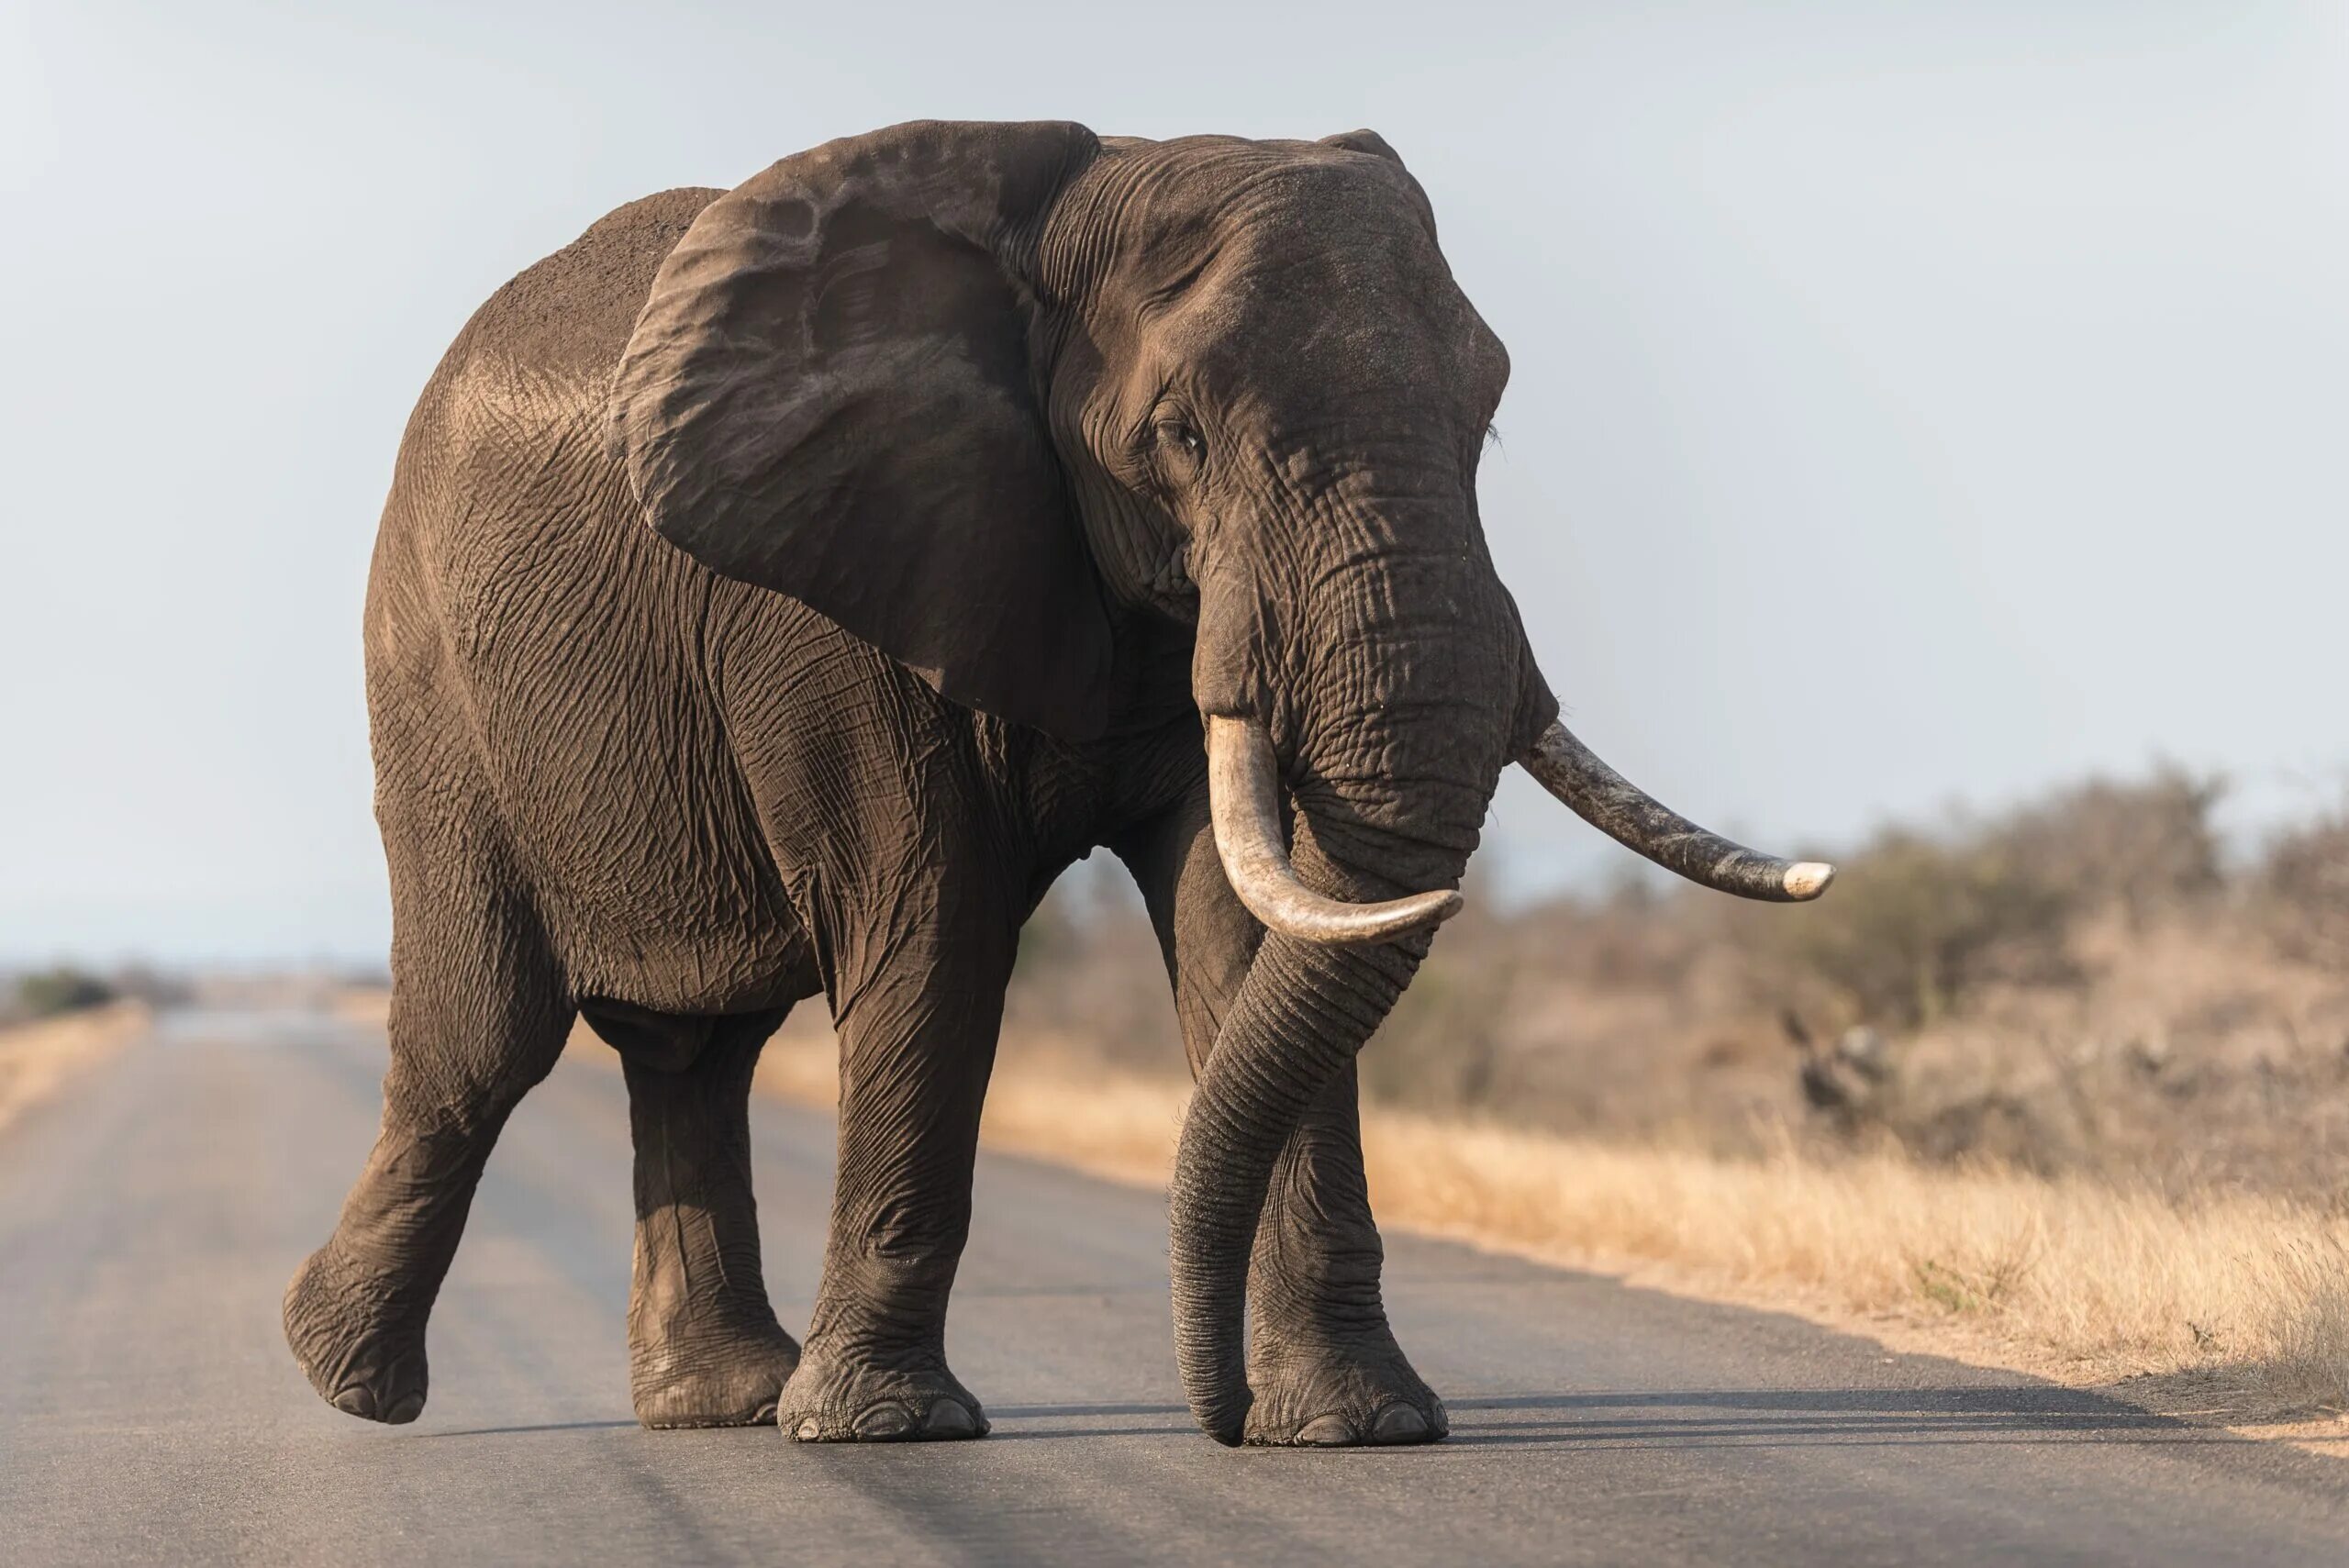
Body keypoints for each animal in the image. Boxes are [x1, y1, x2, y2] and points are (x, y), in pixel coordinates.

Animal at [284, 116, 1831, 1455]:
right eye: (1183, 437)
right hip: (430, 681)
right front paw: (890, 1429)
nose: (1214, 1414)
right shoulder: (831, 589)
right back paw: (344, 1376)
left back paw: (716, 1403)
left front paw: (1358, 1427)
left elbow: (1246, 926)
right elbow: (936, 930)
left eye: (1489, 417)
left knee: (695, 1050)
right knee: (484, 1039)